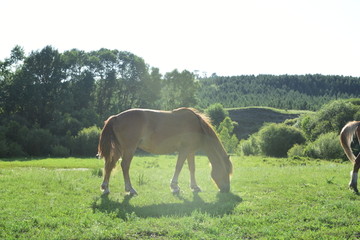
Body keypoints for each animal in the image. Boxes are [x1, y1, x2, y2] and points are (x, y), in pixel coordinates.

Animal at [97, 107, 233, 195]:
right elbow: (178, 167)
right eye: (226, 171)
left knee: (109, 164)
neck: (198, 126)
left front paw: (194, 186)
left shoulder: (190, 152)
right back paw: (130, 189)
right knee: (124, 166)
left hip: (120, 149)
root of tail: (116, 117)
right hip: (129, 149)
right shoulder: (184, 150)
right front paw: (175, 186)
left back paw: (105, 188)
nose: (226, 190)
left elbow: (192, 168)